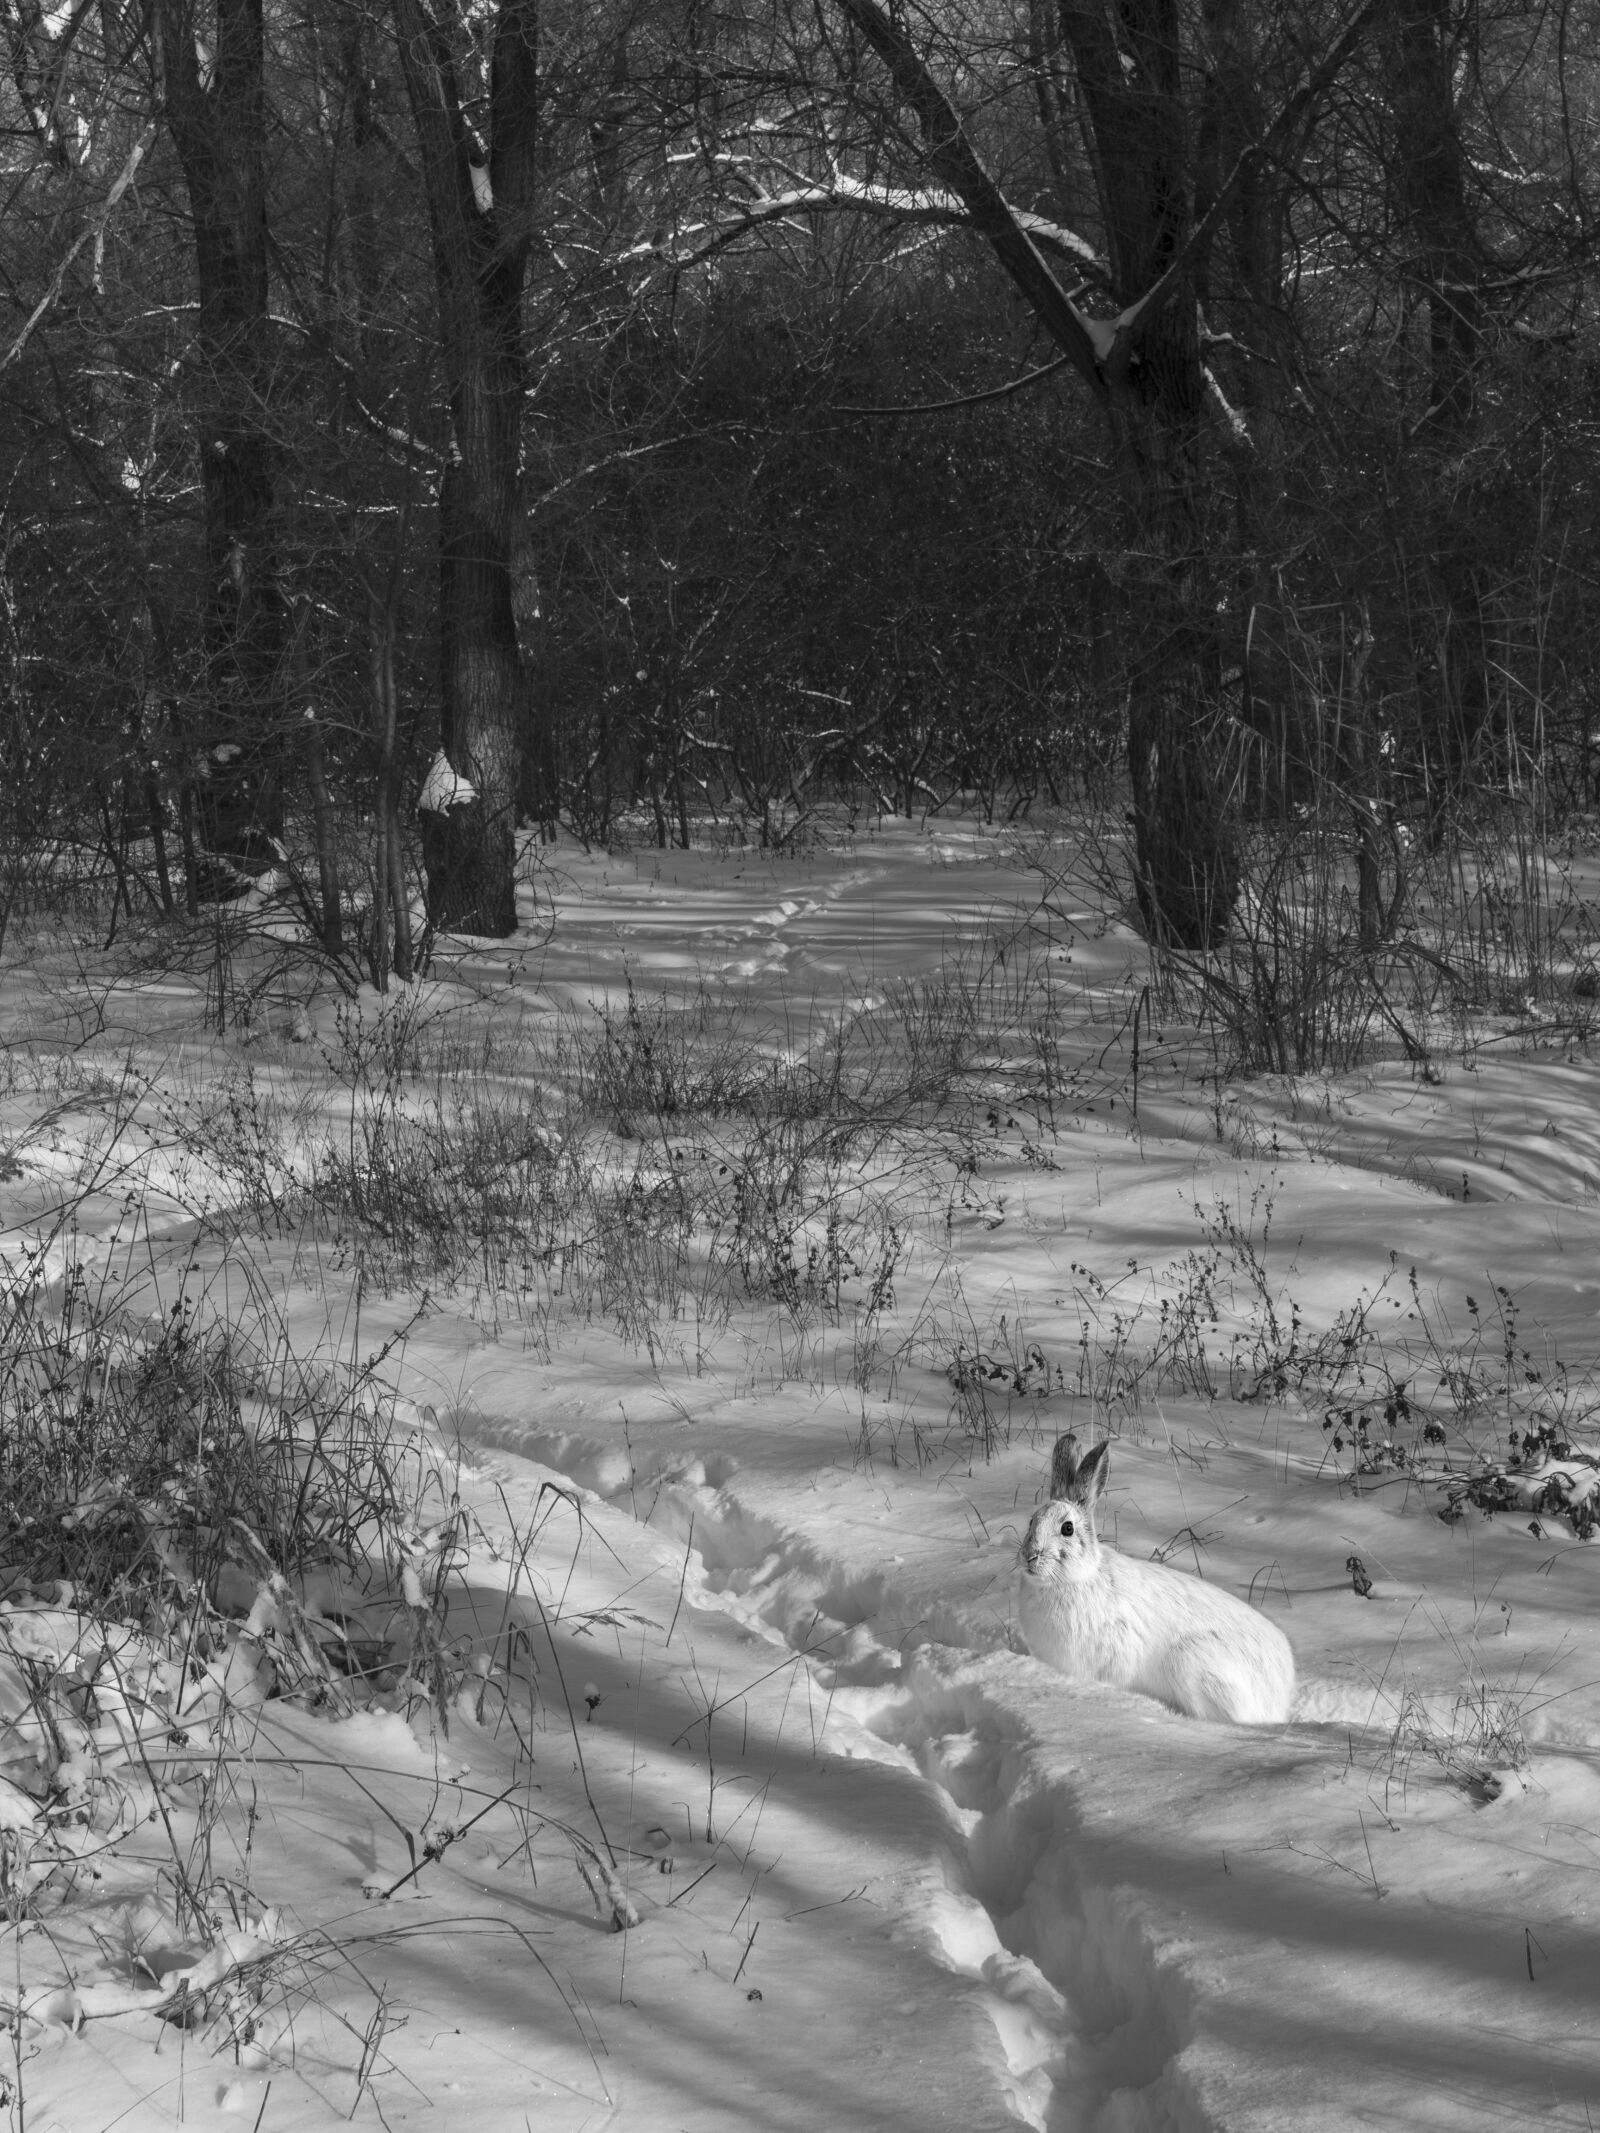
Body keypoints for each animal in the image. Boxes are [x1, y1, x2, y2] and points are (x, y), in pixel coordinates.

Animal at [1017, 1434, 1295, 1724]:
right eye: (1031, 1521)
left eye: (1067, 1529)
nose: (1029, 1556)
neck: (1074, 1578)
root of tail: (1282, 1692)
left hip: (1191, 1664)